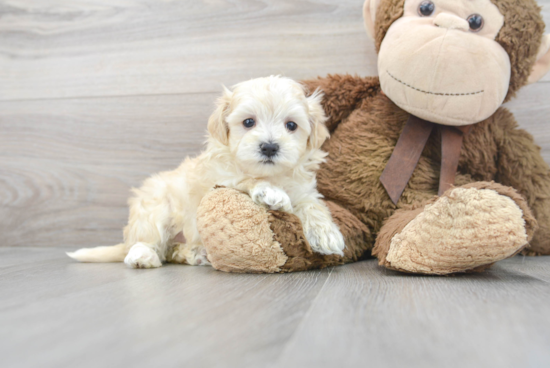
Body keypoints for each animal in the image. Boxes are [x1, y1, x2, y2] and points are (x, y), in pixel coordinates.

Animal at [68, 76, 344, 268]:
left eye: (291, 125)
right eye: (248, 122)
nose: (269, 146)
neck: (272, 174)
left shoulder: (303, 189)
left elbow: (312, 204)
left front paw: (327, 234)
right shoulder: (221, 177)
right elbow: (246, 179)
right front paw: (269, 192)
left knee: (172, 251)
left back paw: (195, 254)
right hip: (155, 208)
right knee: (147, 241)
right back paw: (143, 256)